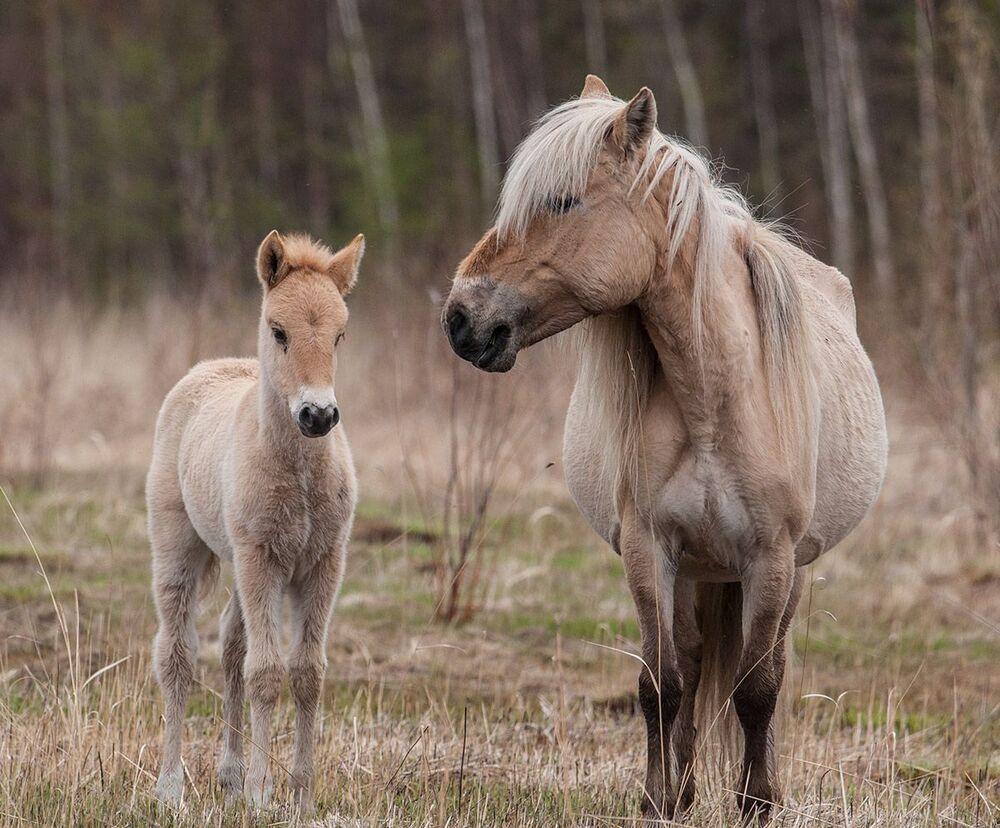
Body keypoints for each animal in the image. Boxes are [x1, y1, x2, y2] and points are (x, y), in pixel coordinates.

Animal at [147, 230, 365, 813]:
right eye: (278, 331)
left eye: (340, 335)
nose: (319, 415)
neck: (300, 475)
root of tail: (208, 367)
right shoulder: (261, 559)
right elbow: (267, 673)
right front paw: (264, 796)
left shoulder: (322, 563)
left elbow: (306, 672)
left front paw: (302, 798)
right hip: (180, 551)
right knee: (177, 657)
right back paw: (171, 787)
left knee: (230, 645)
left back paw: (229, 774)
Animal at [443, 75, 887, 823]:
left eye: (562, 201)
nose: (460, 319)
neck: (714, 395)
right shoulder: (650, 551)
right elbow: (662, 685)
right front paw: (657, 800)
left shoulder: (770, 560)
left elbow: (756, 691)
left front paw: (754, 803)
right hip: (696, 571)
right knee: (694, 661)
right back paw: (683, 789)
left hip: (788, 570)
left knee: (764, 669)